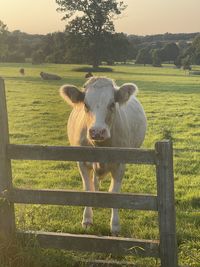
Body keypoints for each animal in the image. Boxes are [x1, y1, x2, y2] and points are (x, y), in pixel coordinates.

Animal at [60, 76, 146, 236]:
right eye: (85, 104)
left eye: (112, 104)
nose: (97, 131)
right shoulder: (81, 162)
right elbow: (88, 189)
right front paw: (87, 220)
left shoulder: (120, 164)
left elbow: (114, 193)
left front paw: (115, 225)